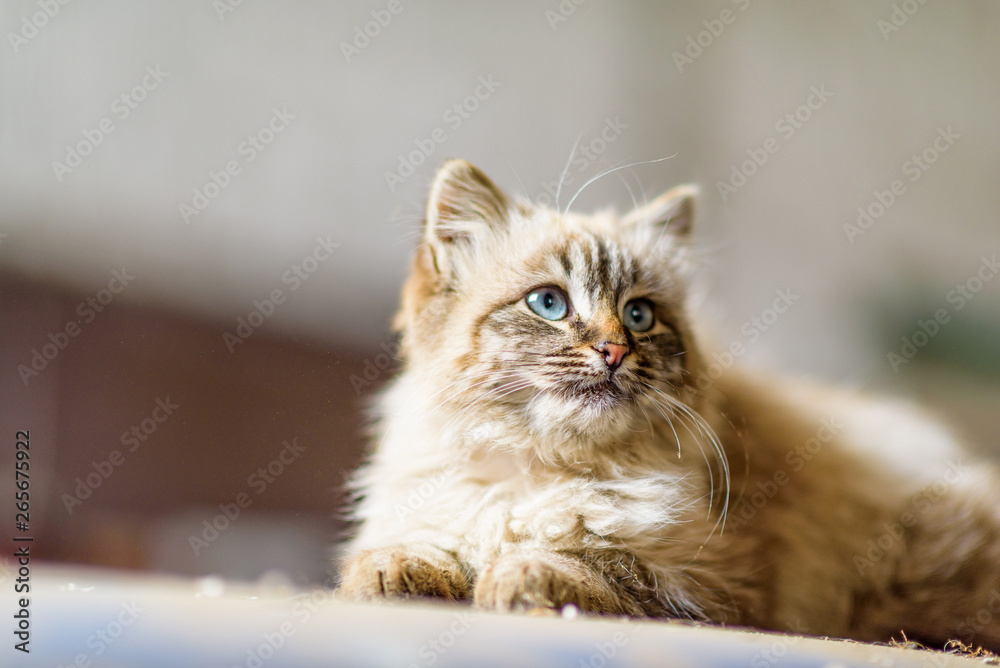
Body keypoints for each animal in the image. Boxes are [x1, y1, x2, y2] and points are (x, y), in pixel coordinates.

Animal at [338, 159, 1000, 648]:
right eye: (549, 303)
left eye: (639, 315)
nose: (613, 350)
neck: (542, 468)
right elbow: (408, 550)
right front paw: (395, 574)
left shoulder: (709, 584)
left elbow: (591, 562)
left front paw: (519, 573)